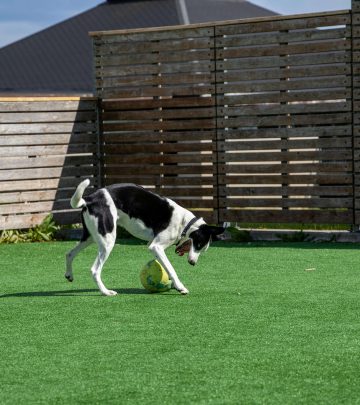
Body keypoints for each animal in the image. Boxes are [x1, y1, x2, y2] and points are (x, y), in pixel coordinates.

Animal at [64, 178, 222, 296]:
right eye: (199, 244)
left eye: (201, 248)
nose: (192, 263)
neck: (184, 222)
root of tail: (90, 199)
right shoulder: (156, 246)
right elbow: (171, 268)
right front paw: (180, 287)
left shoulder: (153, 247)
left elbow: (166, 266)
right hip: (108, 241)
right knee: (95, 270)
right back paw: (106, 292)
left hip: (90, 237)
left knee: (69, 254)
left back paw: (69, 275)